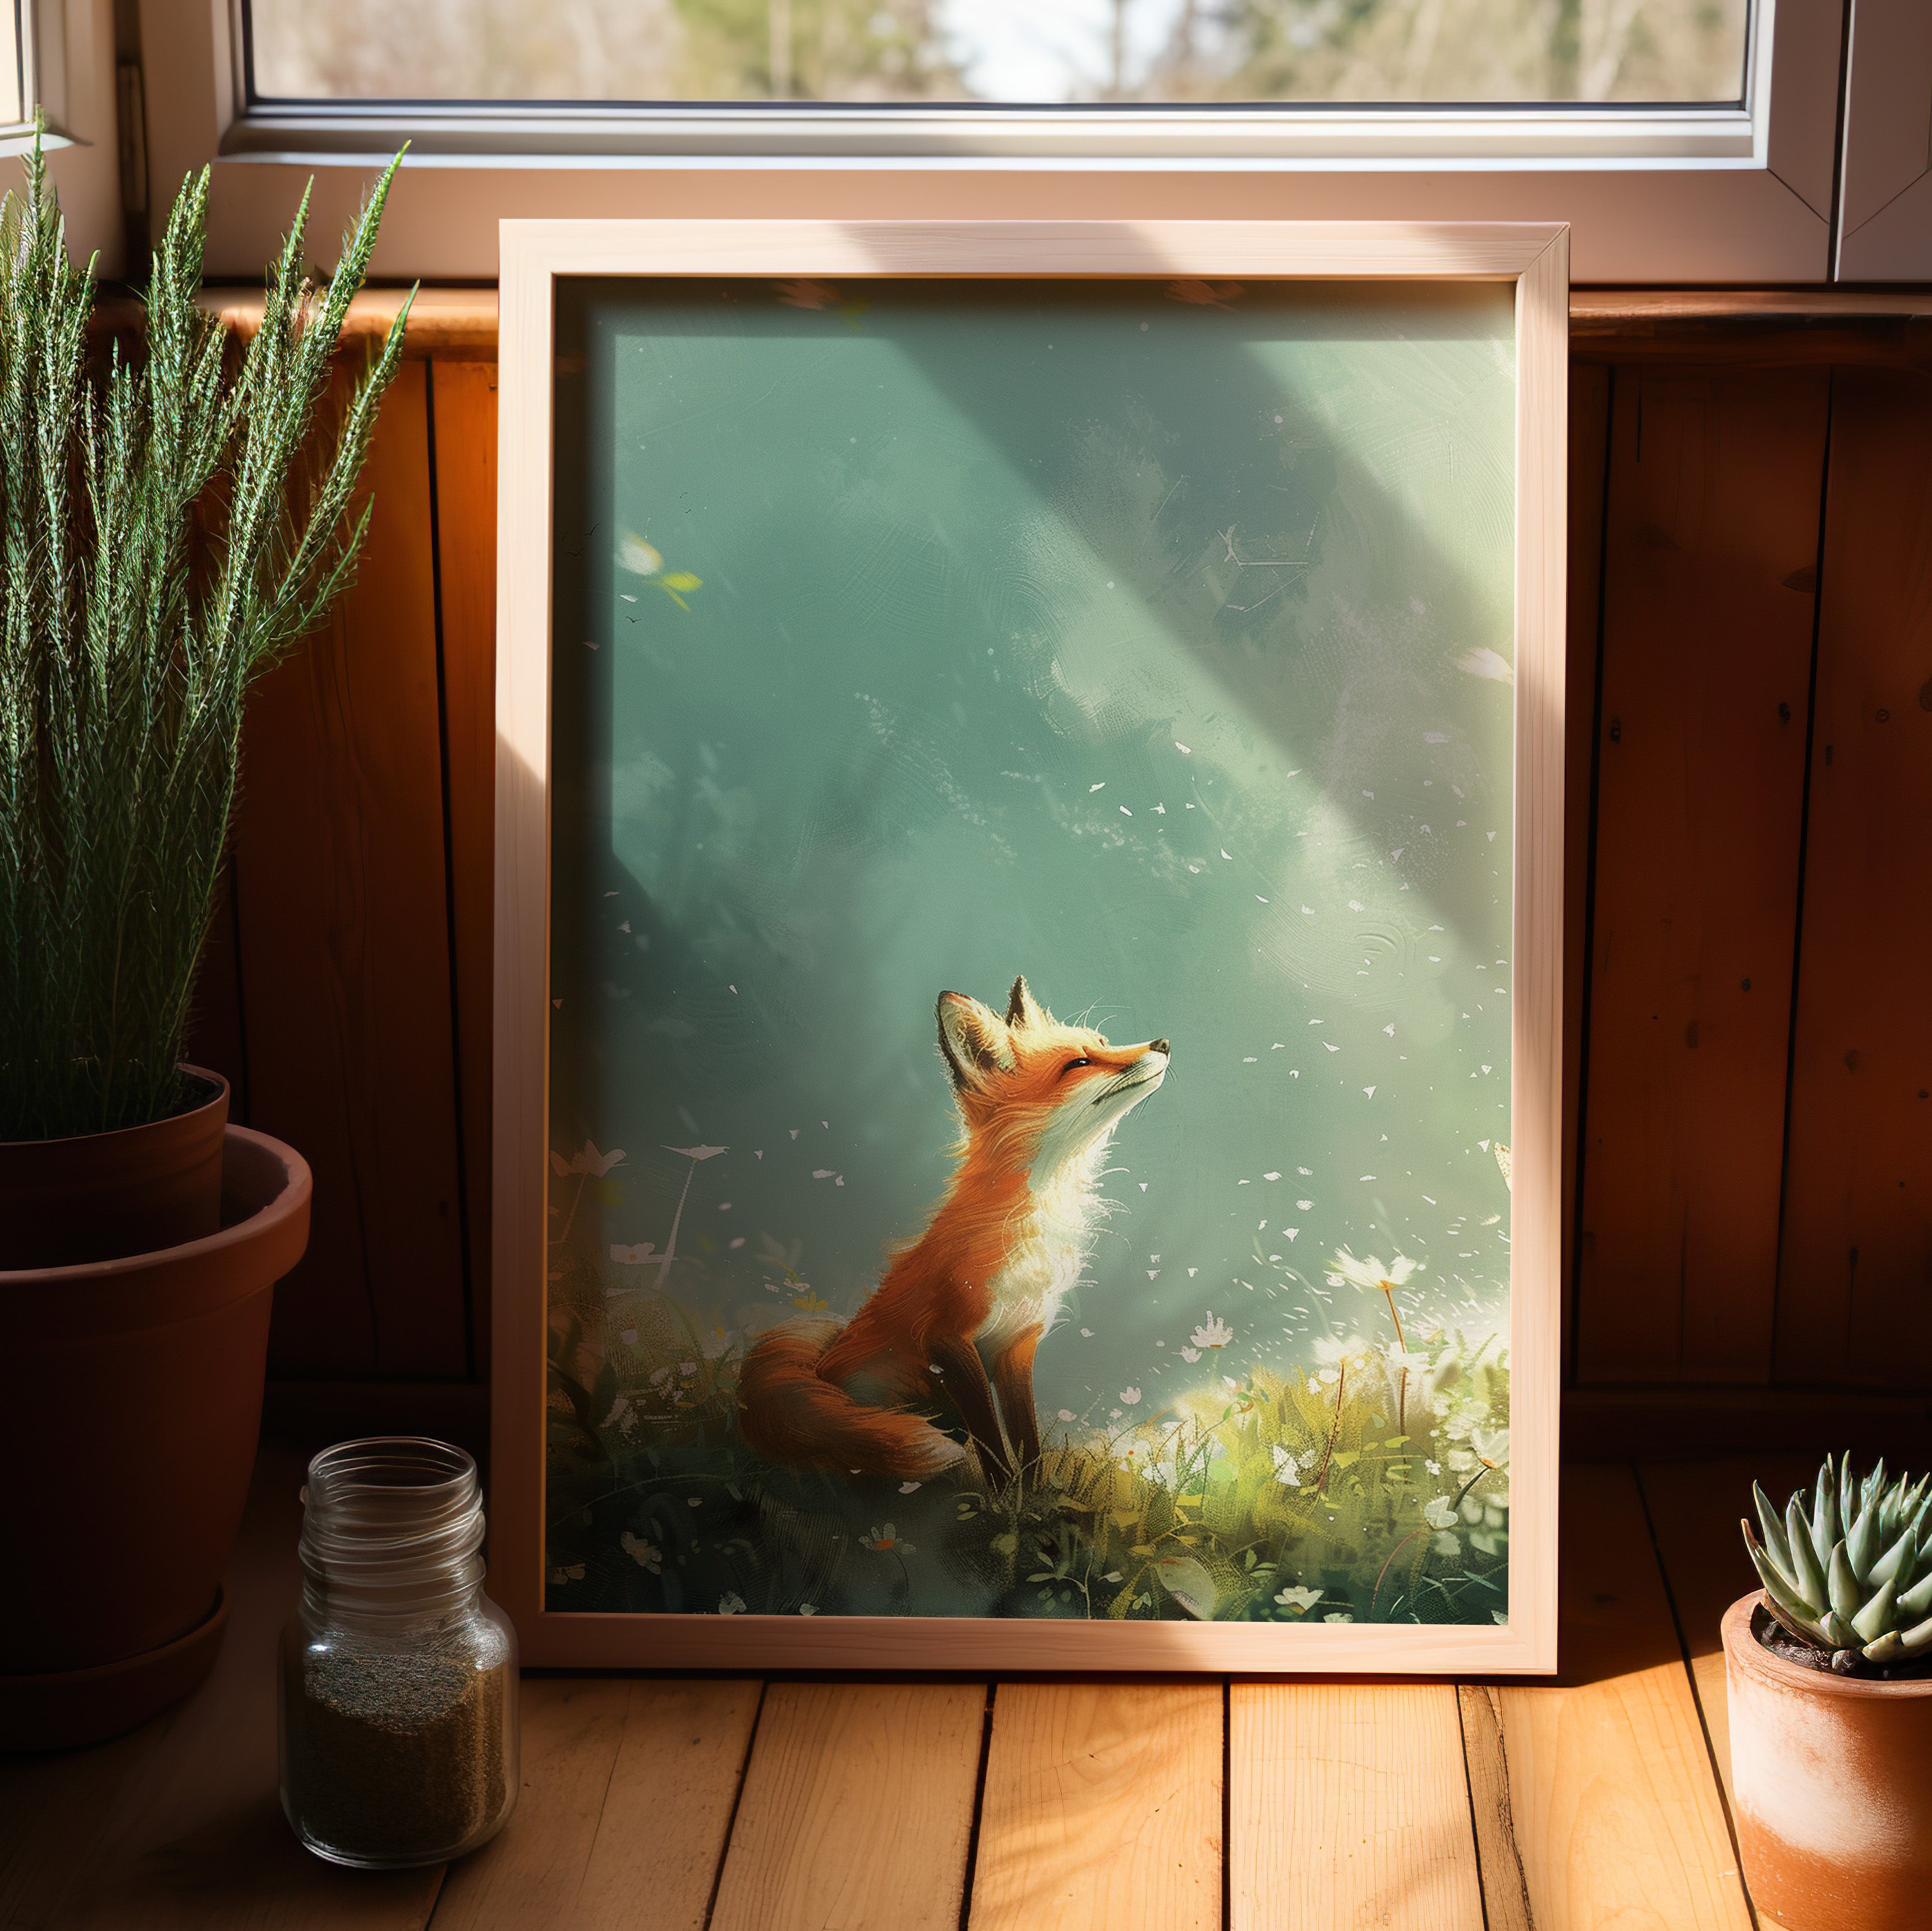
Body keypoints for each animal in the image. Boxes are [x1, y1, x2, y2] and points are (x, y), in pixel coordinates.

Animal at [736, 977, 1170, 1488]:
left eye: (1103, 1042)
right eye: (1079, 1064)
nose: (1163, 1043)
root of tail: (818, 1365)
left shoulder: (1017, 1342)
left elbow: (1027, 1441)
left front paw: (1033, 1496)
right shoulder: (947, 1338)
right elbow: (991, 1442)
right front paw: (1003, 1497)